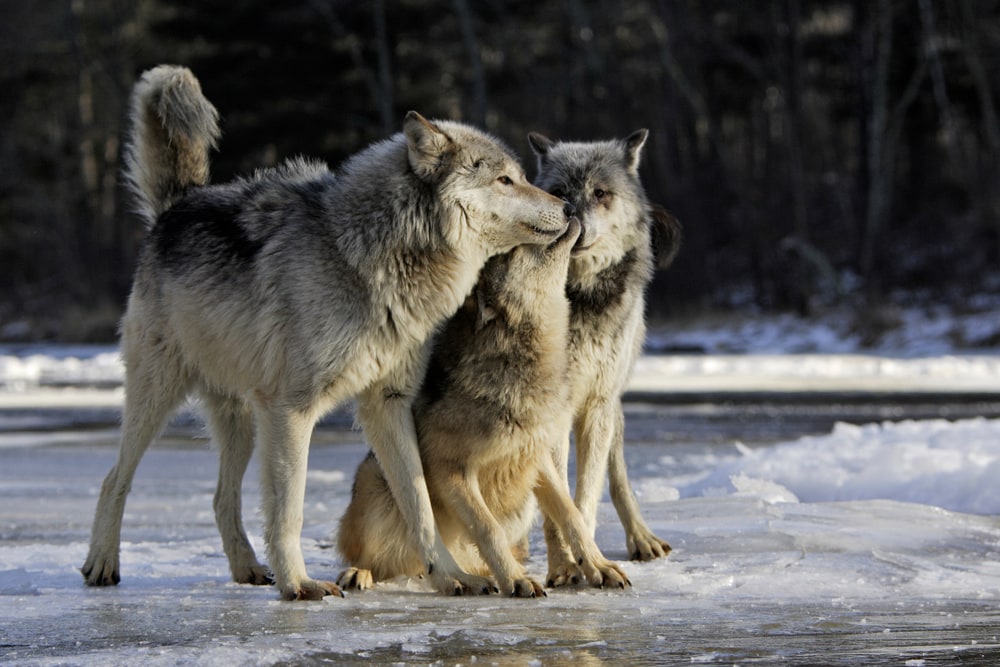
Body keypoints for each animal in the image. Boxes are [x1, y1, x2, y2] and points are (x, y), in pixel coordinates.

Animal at [80, 65, 574, 601]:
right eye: (506, 179)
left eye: (522, 177)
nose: (569, 207)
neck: (374, 255)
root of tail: (179, 204)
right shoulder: (293, 411)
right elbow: (290, 511)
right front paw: (299, 584)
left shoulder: (388, 403)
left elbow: (419, 502)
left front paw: (450, 575)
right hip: (160, 398)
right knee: (113, 478)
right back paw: (102, 564)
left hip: (242, 422)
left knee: (220, 497)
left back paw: (247, 569)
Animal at [335, 216, 630, 596]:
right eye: (516, 245)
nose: (571, 212)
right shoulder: (453, 472)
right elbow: (488, 529)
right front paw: (516, 581)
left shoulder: (535, 455)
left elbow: (571, 515)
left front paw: (598, 566)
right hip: (377, 480)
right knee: (384, 559)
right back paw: (361, 573)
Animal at [527, 130, 680, 584]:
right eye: (560, 193)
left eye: (600, 193)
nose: (573, 225)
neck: (581, 297)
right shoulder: (553, 413)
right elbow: (556, 502)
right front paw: (563, 567)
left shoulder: (596, 404)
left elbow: (585, 499)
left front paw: (588, 562)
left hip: (611, 405)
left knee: (618, 475)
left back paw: (642, 539)